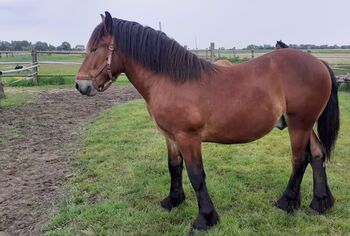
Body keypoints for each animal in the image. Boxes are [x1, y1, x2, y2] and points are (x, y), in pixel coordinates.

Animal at [76, 12, 340, 231]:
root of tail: (319, 63)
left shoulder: (188, 138)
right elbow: (174, 167)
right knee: (317, 155)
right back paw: (320, 203)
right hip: (306, 125)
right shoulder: (170, 136)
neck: (172, 80)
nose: (80, 85)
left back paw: (286, 202)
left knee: (300, 159)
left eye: (96, 49)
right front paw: (173, 200)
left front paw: (205, 219)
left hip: (299, 125)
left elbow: (196, 175)